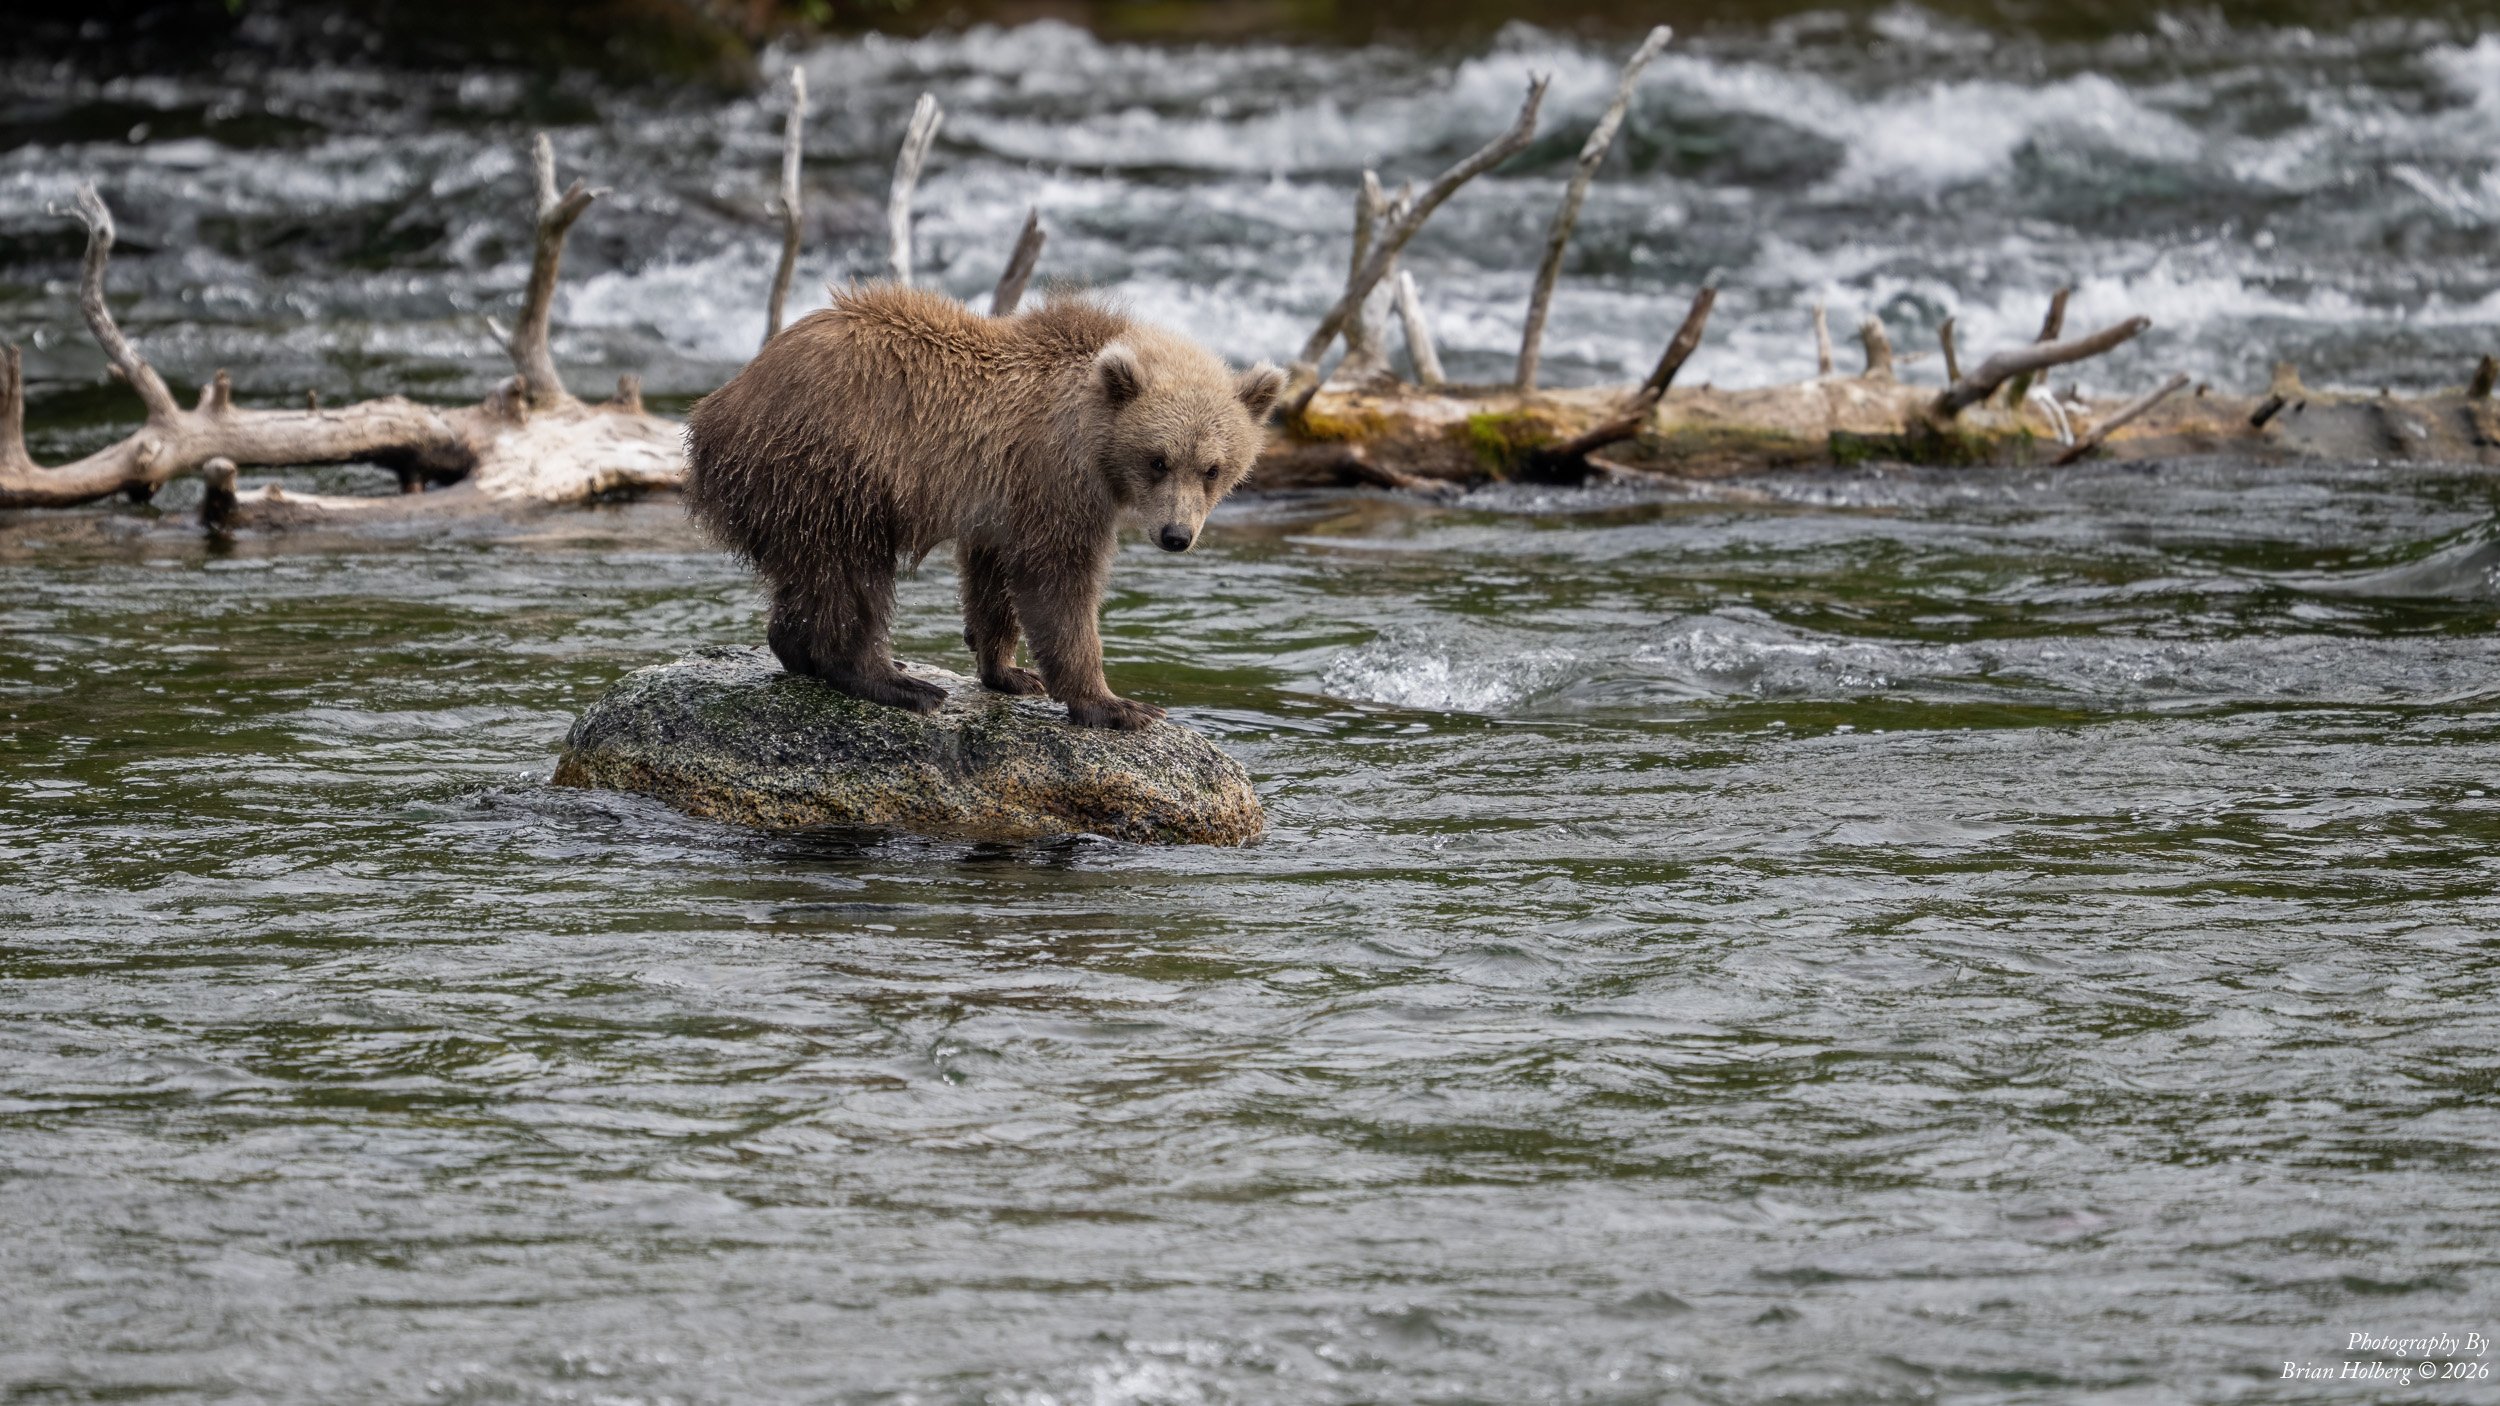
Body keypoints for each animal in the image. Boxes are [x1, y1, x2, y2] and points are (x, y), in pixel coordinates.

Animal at [683, 283, 1285, 730]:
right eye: (1158, 459)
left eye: (1213, 468)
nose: (1176, 535)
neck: (1093, 436)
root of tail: (715, 410)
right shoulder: (1053, 478)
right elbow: (1059, 581)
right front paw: (1117, 704)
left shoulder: (1002, 497)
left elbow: (993, 578)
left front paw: (1010, 671)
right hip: (833, 467)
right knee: (850, 573)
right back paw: (896, 681)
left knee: (807, 576)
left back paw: (807, 651)